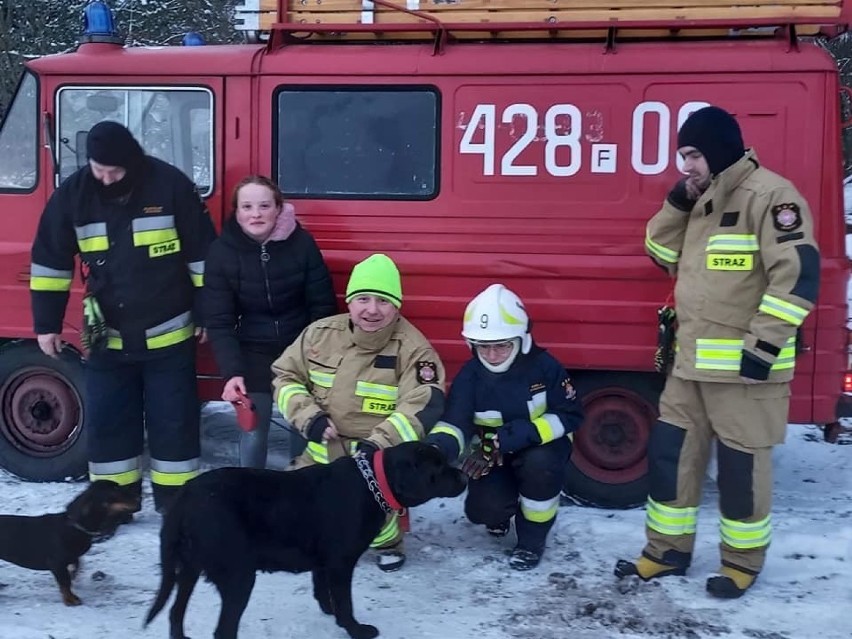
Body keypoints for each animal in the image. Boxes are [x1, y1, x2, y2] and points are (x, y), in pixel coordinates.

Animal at [0, 482, 141, 608]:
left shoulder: (72, 558)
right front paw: (70, 599)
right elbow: (65, 583)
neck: (74, 527)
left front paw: (73, 576)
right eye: (115, 492)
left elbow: (76, 566)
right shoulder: (56, 563)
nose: (139, 500)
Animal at [146, 442, 466, 639]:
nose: (464, 477)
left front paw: (330, 612)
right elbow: (345, 603)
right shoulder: (340, 563)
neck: (373, 482)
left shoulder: (323, 562)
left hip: (187, 568)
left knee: (175, 613)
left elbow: (322, 589)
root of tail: (184, 497)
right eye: (437, 467)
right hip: (238, 576)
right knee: (222, 630)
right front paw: (355, 629)